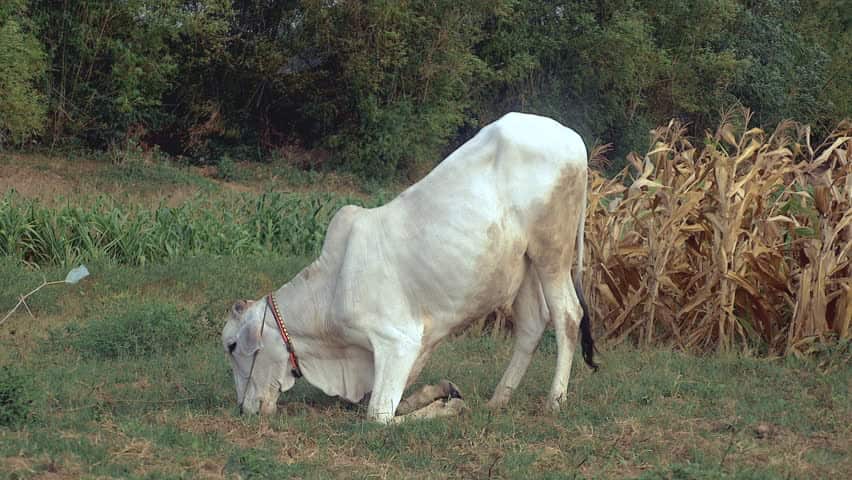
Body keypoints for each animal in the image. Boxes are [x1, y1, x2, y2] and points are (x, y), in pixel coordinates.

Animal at [222, 112, 597, 424]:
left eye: (231, 346)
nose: (243, 409)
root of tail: (572, 137)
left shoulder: (398, 342)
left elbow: (379, 414)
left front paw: (450, 405)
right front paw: (443, 391)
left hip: (552, 253)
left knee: (567, 315)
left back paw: (554, 400)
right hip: (525, 265)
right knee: (532, 324)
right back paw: (498, 400)